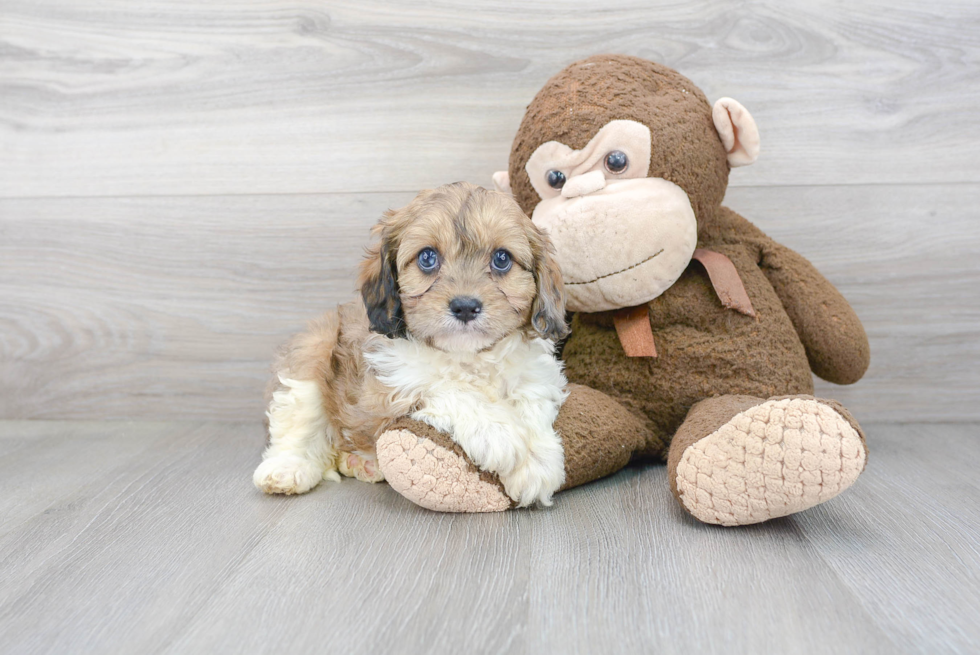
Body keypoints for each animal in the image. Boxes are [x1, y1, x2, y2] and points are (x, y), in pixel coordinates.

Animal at [253, 182, 572, 510]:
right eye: (427, 258)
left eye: (502, 259)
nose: (465, 307)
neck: (469, 355)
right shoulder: (388, 383)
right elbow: (447, 388)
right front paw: (498, 432)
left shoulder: (536, 374)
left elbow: (532, 399)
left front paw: (537, 460)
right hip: (313, 351)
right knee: (298, 422)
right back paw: (287, 469)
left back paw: (361, 463)